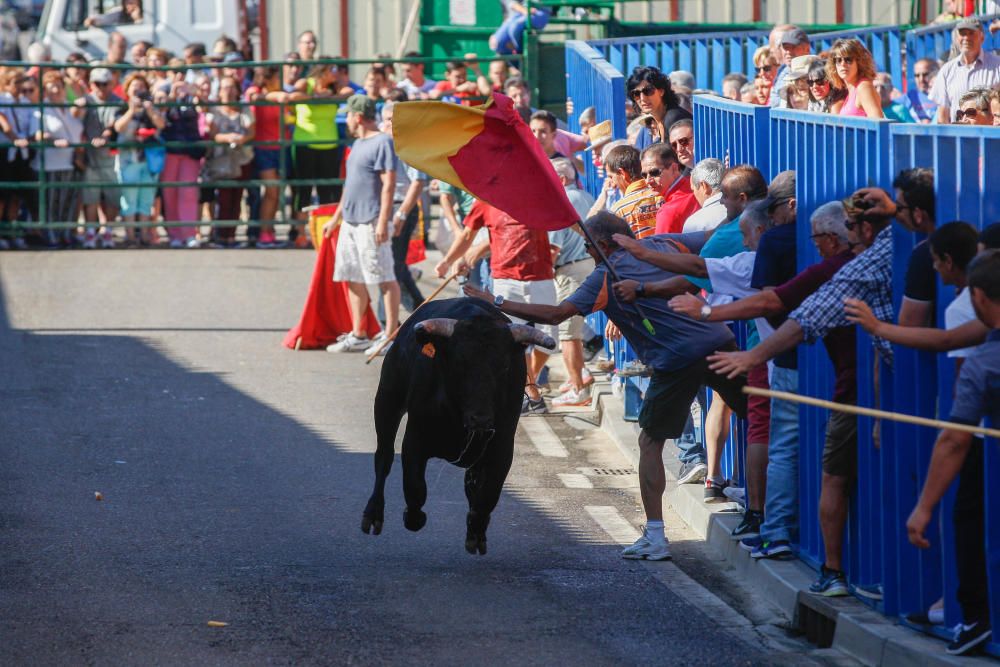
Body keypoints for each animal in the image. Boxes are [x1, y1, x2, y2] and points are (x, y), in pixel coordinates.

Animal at [364, 300, 560, 556]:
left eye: (504, 366)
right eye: (460, 363)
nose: (481, 419)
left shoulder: (502, 446)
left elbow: (487, 494)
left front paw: (476, 532)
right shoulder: (415, 439)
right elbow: (415, 486)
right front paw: (414, 517)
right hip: (388, 400)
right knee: (384, 457)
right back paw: (373, 514)